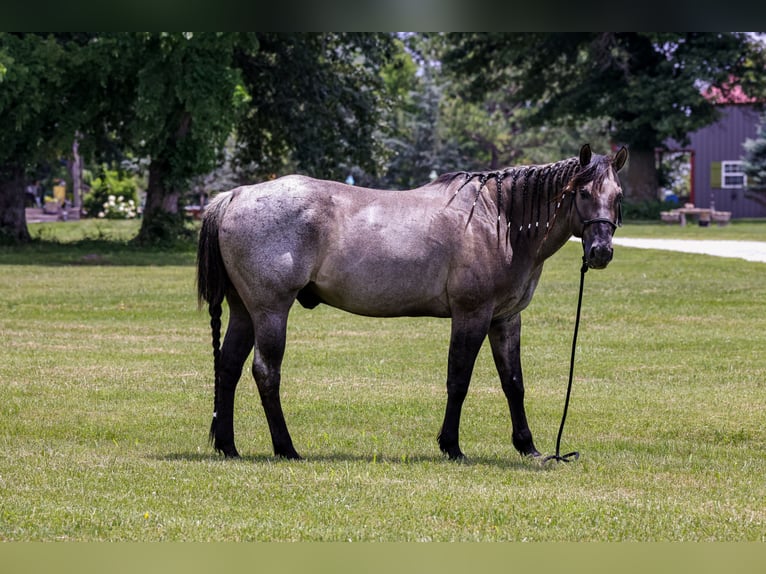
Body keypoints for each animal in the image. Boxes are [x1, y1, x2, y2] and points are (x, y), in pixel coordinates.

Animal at [197, 144, 628, 461]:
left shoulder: (505, 319)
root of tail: (235, 195)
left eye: (617, 195)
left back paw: (229, 447)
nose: (602, 252)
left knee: (228, 368)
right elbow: (459, 378)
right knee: (266, 372)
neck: (498, 220)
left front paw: (528, 446)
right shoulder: (472, 314)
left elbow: (514, 383)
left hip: (244, 312)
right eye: (583, 193)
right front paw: (452, 447)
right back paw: (286, 448)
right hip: (270, 311)